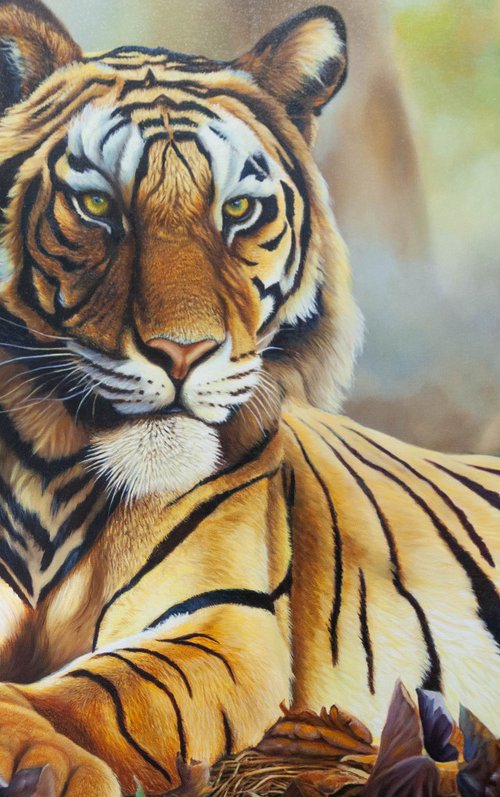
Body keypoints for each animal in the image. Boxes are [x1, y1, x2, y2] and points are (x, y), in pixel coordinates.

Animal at [0, 1, 498, 795]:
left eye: (237, 209)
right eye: (97, 204)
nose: (182, 351)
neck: (50, 466)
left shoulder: (222, 621)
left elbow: (102, 690)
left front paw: (32, 749)